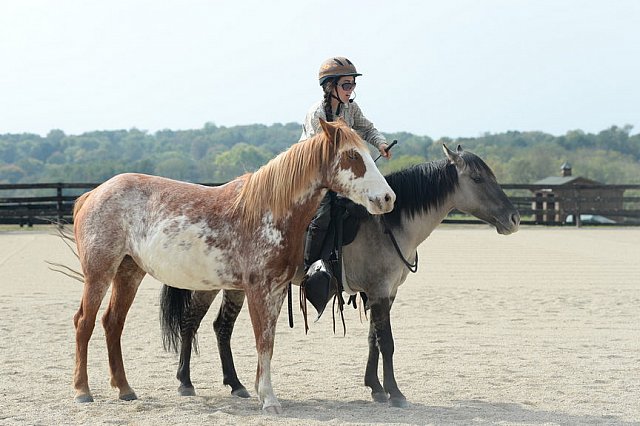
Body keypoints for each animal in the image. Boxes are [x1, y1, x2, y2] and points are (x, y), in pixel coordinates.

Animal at [70, 118, 396, 414]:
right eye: (352, 156)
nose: (387, 198)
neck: (268, 210)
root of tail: (93, 194)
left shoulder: (276, 290)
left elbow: (268, 342)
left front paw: (259, 391)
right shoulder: (257, 290)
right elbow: (262, 341)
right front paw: (269, 399)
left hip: (128, 272)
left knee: (113, 323)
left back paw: (125, 389)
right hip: (99, 273)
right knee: (85, 322)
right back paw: (82, 391)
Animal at [159, 143, 520, 406]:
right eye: (478, 179)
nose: (514, 218)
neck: (389, 223)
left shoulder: (384, 293)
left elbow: (374, 340)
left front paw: (375, 387)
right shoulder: (379, 292)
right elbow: (387, 342)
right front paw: (395, 393)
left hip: (233, 285)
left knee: (221, 327)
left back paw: (235, 384)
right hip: (209, 284)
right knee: (191, 323)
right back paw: (185, 382)